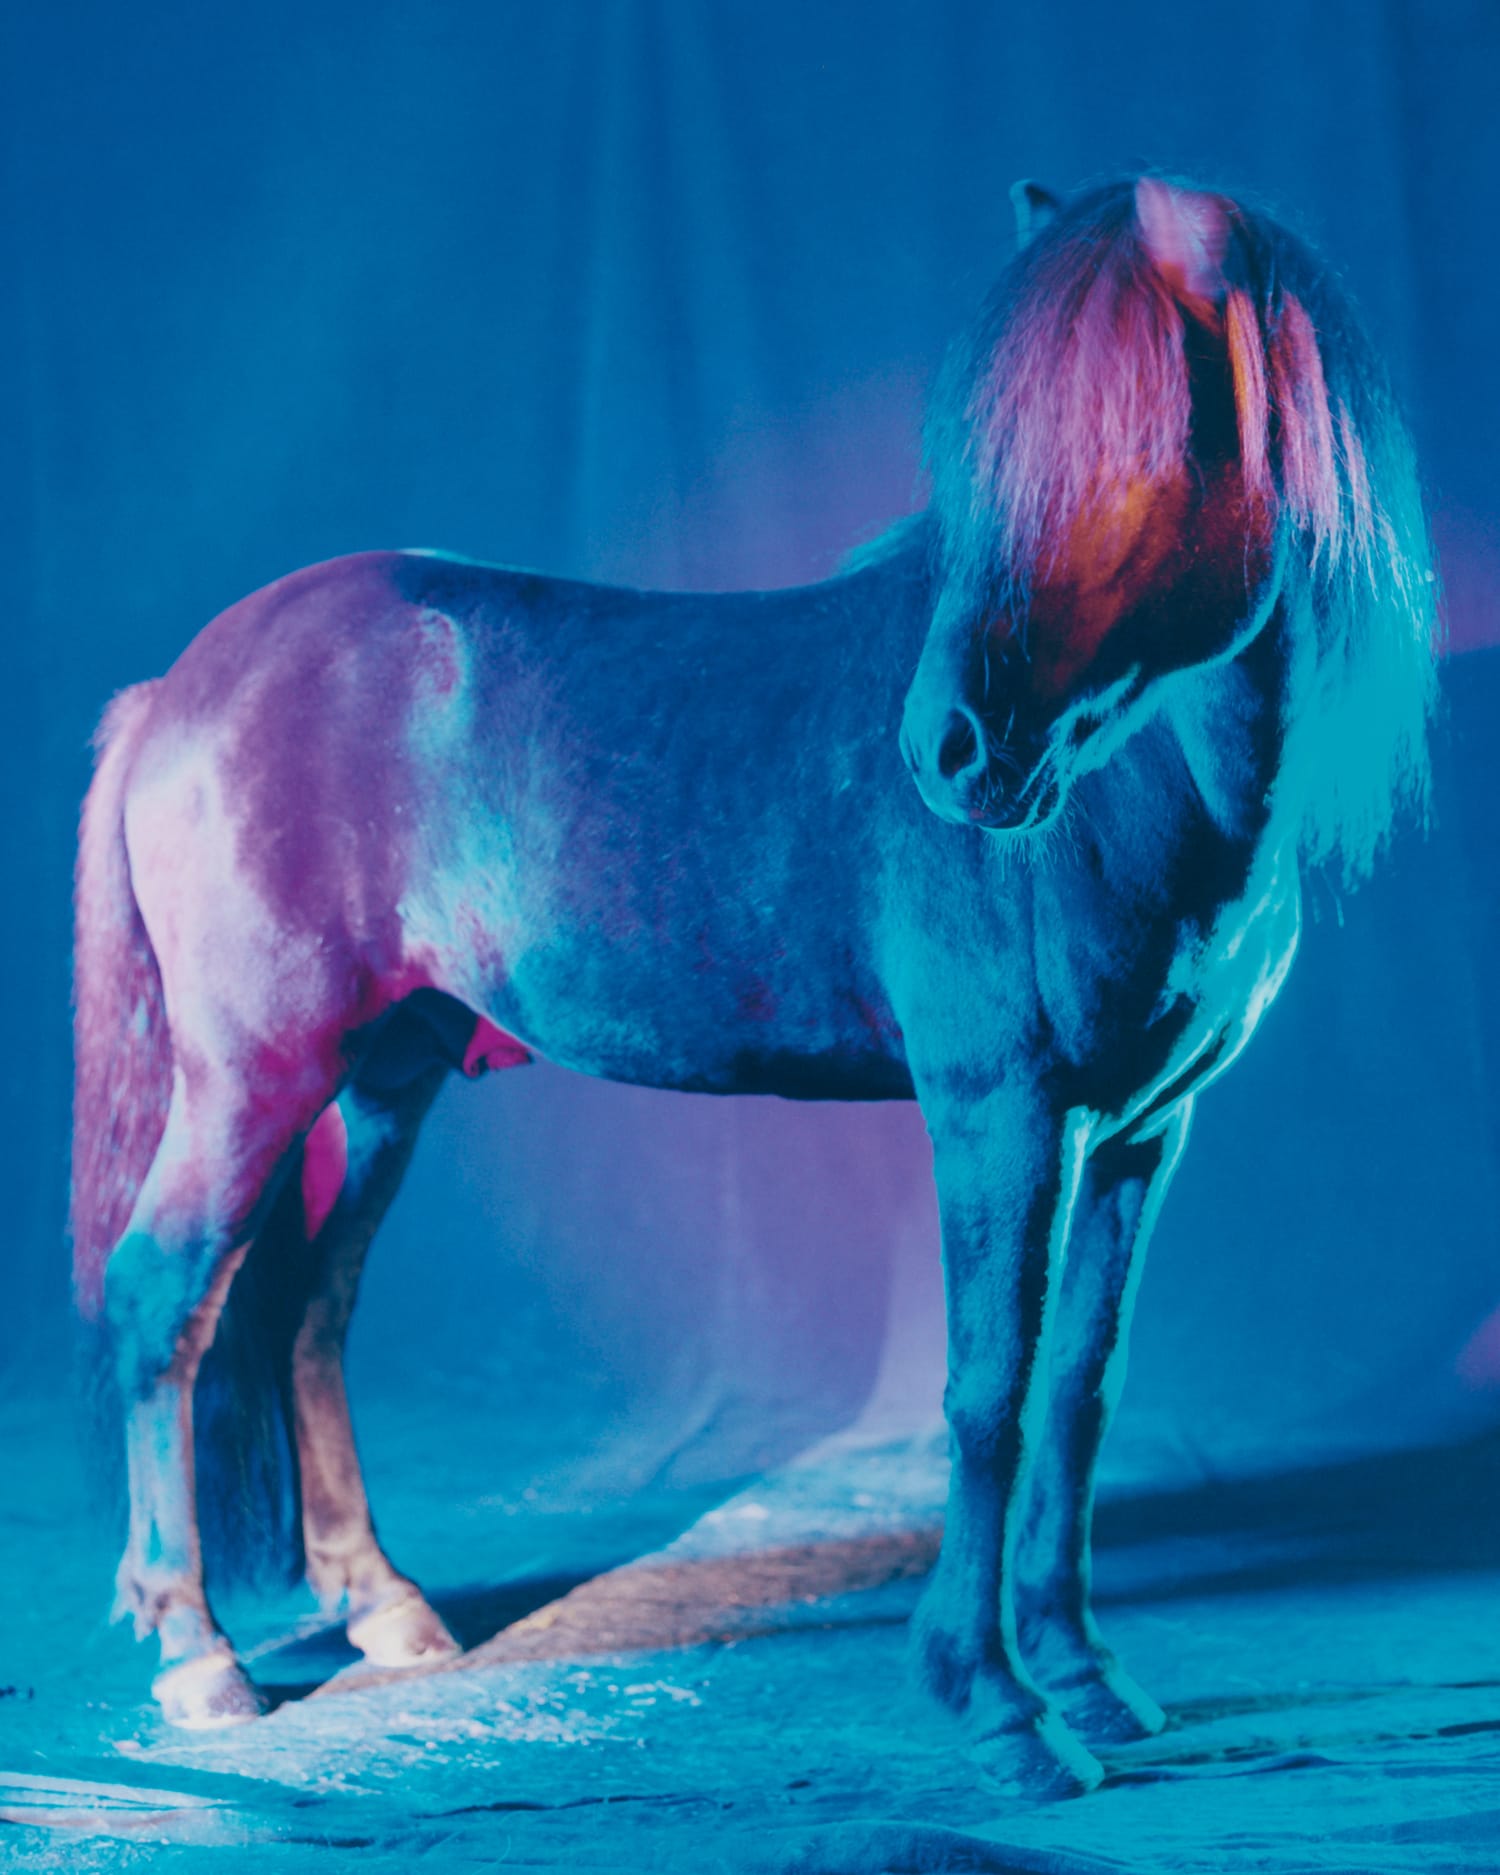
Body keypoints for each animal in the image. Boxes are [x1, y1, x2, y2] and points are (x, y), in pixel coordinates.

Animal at [71, 174, 1436, 1797]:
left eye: (1148, 449)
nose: (949, 751)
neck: (1137, 796)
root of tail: (184, 684)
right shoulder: (1002, 1115)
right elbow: (989, 1393)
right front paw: (999, 1704)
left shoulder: (1145, 1134)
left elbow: (1083, 1391)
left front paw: (1092, 1680)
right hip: (254, 1074)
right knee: (167, 1296)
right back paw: (198, 1653)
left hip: (387, 1076)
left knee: (307, 1307)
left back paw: (386, 1610)